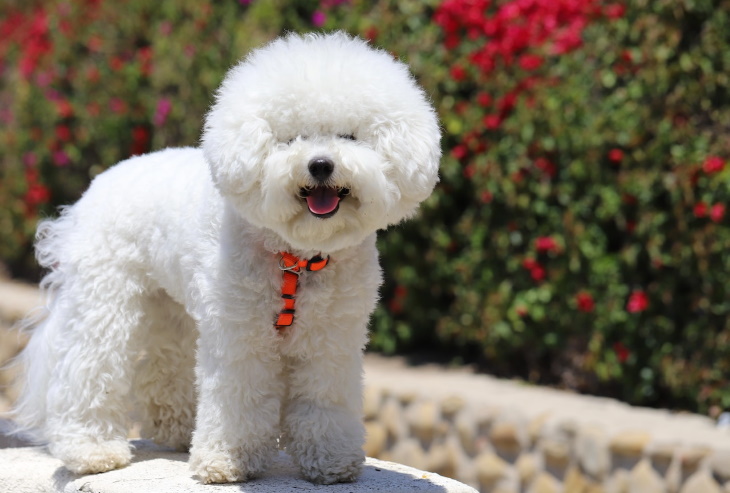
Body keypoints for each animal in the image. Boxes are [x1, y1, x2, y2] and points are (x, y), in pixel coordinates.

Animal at [12, 31, 438, 484]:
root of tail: (99, 183)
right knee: (89, 367)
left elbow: (325, 395)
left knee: (165, 365)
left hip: (171, 308)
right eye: (290, 139)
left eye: (350, 137)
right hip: (106, 298)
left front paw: (331, 461)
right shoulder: (240, 332)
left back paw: (178, 430)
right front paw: (226, 461)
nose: (321, 165)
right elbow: (240, 394)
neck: (296, 257)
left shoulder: (332, 338)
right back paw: (91, 451)